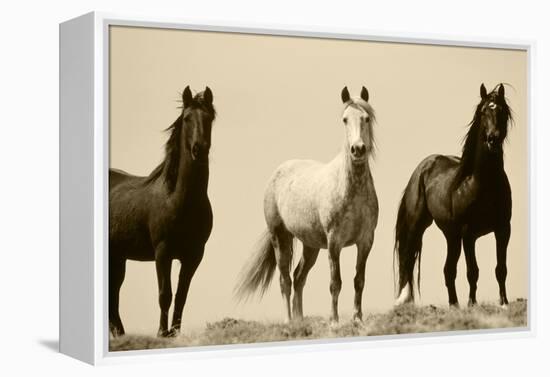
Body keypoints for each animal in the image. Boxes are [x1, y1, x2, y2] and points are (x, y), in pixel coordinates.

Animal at [109, 86, 216, 336]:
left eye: (209, 118)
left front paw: (174, 333)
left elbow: (181, 296)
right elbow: (165, 294)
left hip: (118, 258)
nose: (199, 149)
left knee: (113, 296)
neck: (179, 200)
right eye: (187, 118)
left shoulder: (194, 255)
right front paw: (161, 333)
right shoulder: (162, 252)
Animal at [237, 86, 380, 322]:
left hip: (310, 245)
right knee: (285, 280)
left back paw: (299, 320)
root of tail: (278, 172)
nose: (357, 149)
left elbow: (359, 280)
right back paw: (288, 321)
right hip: (281, 238)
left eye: (366, 118)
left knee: (298, 277)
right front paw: (334, 321)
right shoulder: (334, 243)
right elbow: (335, 283)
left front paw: (357, 319)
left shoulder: (366, 241)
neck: (351, 189)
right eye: (344, 119)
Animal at [394, 83, 516, 306]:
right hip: (419, 227)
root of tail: (422, 168)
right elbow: (473, 271)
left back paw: (454, 305)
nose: (493, 139)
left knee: (448, 270)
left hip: (451, 236)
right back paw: (406, 300)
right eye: (483, 111)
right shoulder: (469, 233)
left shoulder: (503, 229)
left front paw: (503, 303)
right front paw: (472, 304)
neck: (483, 183)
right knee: (408, 260)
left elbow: (500, 269)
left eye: (502, 111)